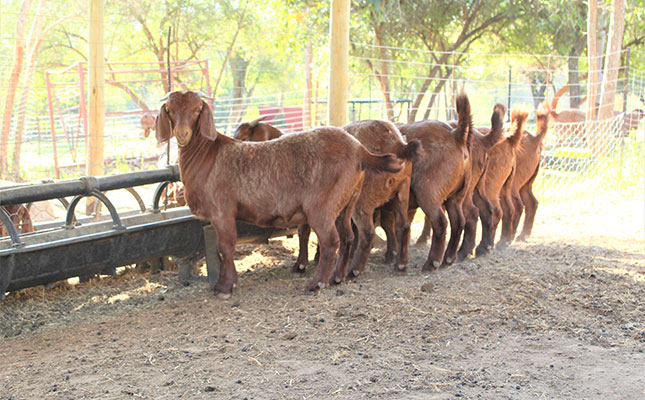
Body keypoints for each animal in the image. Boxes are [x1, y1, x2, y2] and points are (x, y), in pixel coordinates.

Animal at [155, 90, 402, 296]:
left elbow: (225, 248)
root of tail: (360, 150)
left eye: (197, 110)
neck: (208, 154)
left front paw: (225, 287)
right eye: (170, 109)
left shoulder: (222, 212)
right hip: (347, 202)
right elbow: (221, 249)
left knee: (331, 241)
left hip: (323, 205)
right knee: (348, 237)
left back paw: (316, 284)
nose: (182, 133)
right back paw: (337, 278)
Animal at [394, 91, 470, 272]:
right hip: (456, 195)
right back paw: (448, 258)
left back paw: (432, 262)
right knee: (458, 221)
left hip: (427, 193)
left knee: (440, 223)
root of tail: (455, 135)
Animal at [472, 105, 528, 256]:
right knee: (509, 209)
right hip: (504, 187)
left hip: (489, 187)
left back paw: (484, 247)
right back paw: (503, 242)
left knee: (495, 212)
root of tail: (509, 139)